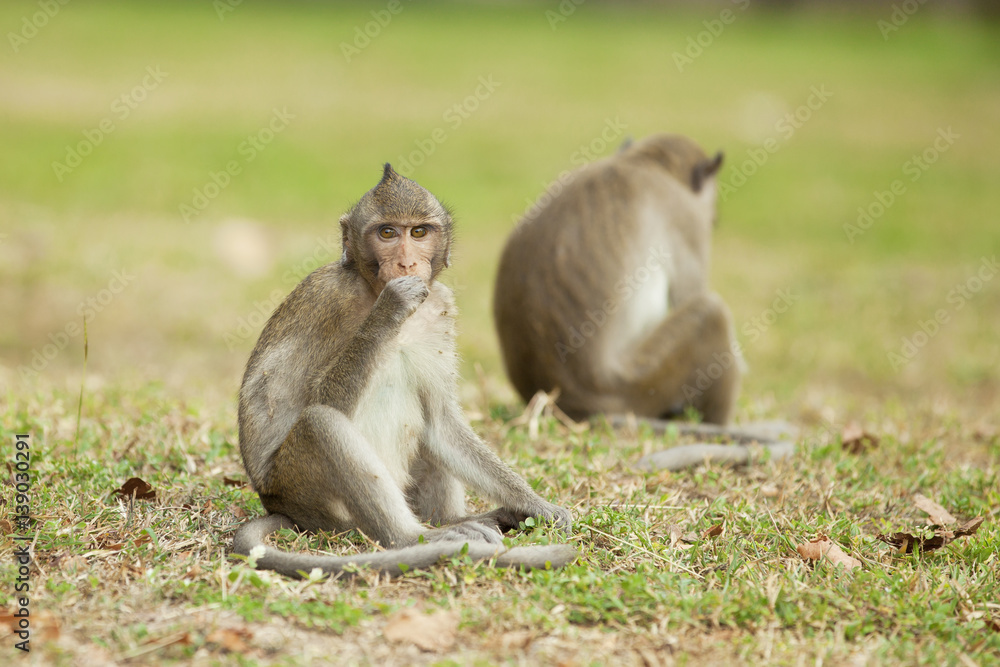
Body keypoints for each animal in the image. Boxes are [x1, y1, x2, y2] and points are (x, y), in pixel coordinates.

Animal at [232, 164, 575, 579]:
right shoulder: (326, 301)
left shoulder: (442, 305)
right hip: (304, 492)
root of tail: (277, 504)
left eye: (419, 232)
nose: (408, 264)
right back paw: (420, 537)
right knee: (320, 424)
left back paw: (463, 519)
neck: (368, 289)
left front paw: (535, 505)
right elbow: (315, 399)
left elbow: (441, 420)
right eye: (387, 233)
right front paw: (391, 306)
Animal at [494, 134, 794, 469]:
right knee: (711, 311)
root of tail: (580, 404)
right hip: (642, 381)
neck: (643, 162)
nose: (713, 218)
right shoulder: (684, 217)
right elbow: (690, 294)